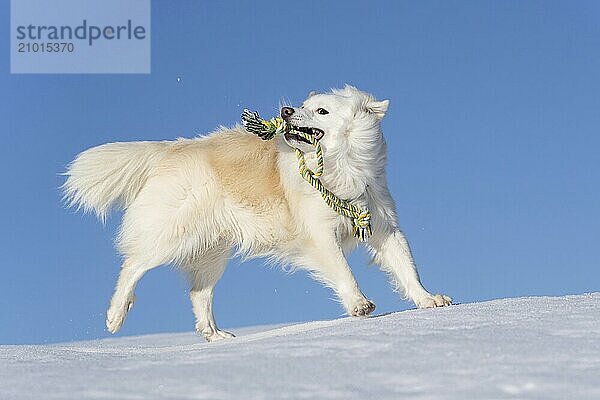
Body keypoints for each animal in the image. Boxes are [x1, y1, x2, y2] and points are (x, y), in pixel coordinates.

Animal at [64, 86, 450, 342]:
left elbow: (407, 267)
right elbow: (345, 272)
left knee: (199, 293)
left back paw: (215, 336)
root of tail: (173, 149)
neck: (341, 168)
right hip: (175, 235)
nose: (286, 112)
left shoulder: (384, 226)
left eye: (321, 111)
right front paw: (359, 305)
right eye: (303, 106)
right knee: (132, 264)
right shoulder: (320, 236)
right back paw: (115, 316)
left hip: (213, 250)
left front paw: (429, 300)